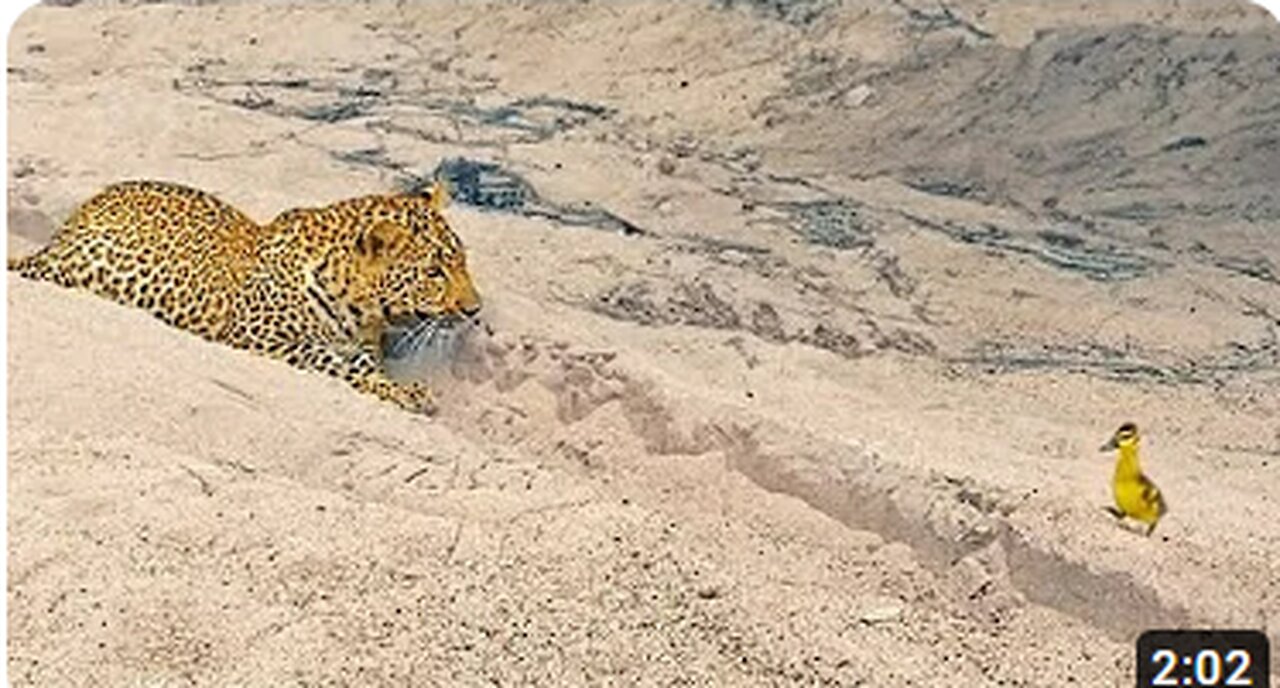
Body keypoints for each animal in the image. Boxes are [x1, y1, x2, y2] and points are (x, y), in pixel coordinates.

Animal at [8, 177, 481, 411]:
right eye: (434, 272)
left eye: (463, 261)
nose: (474, 310)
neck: (360, 310)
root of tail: (62, 232)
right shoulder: (259, 340)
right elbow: (328, 362)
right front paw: (409, 393)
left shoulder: (362, 347)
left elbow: (361, 367)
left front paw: (398, 388)